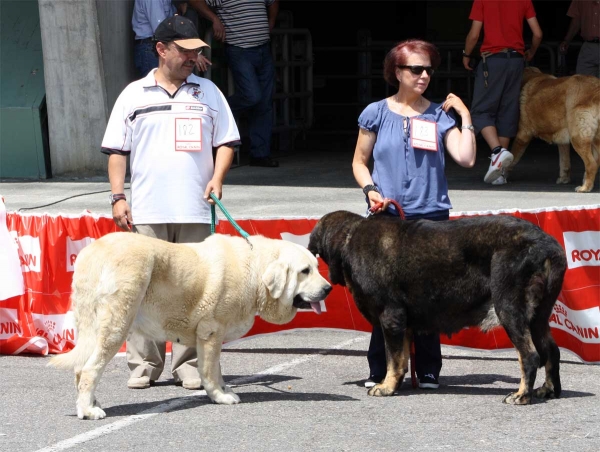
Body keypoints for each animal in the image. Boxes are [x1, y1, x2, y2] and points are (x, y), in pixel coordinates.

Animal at [50, 233, 332, 420]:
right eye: (305, 271)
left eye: (317, 267)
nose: (328, 288)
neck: (256, 268)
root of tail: (93, 252)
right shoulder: (211, 332)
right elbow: (209, 371)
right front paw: (219, 396)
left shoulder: (213, 337)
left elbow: (217, 369)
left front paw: (224, 389)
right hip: (116, 326)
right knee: (89, 370)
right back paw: (89, 410)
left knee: (80, 368)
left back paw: (87, 404)